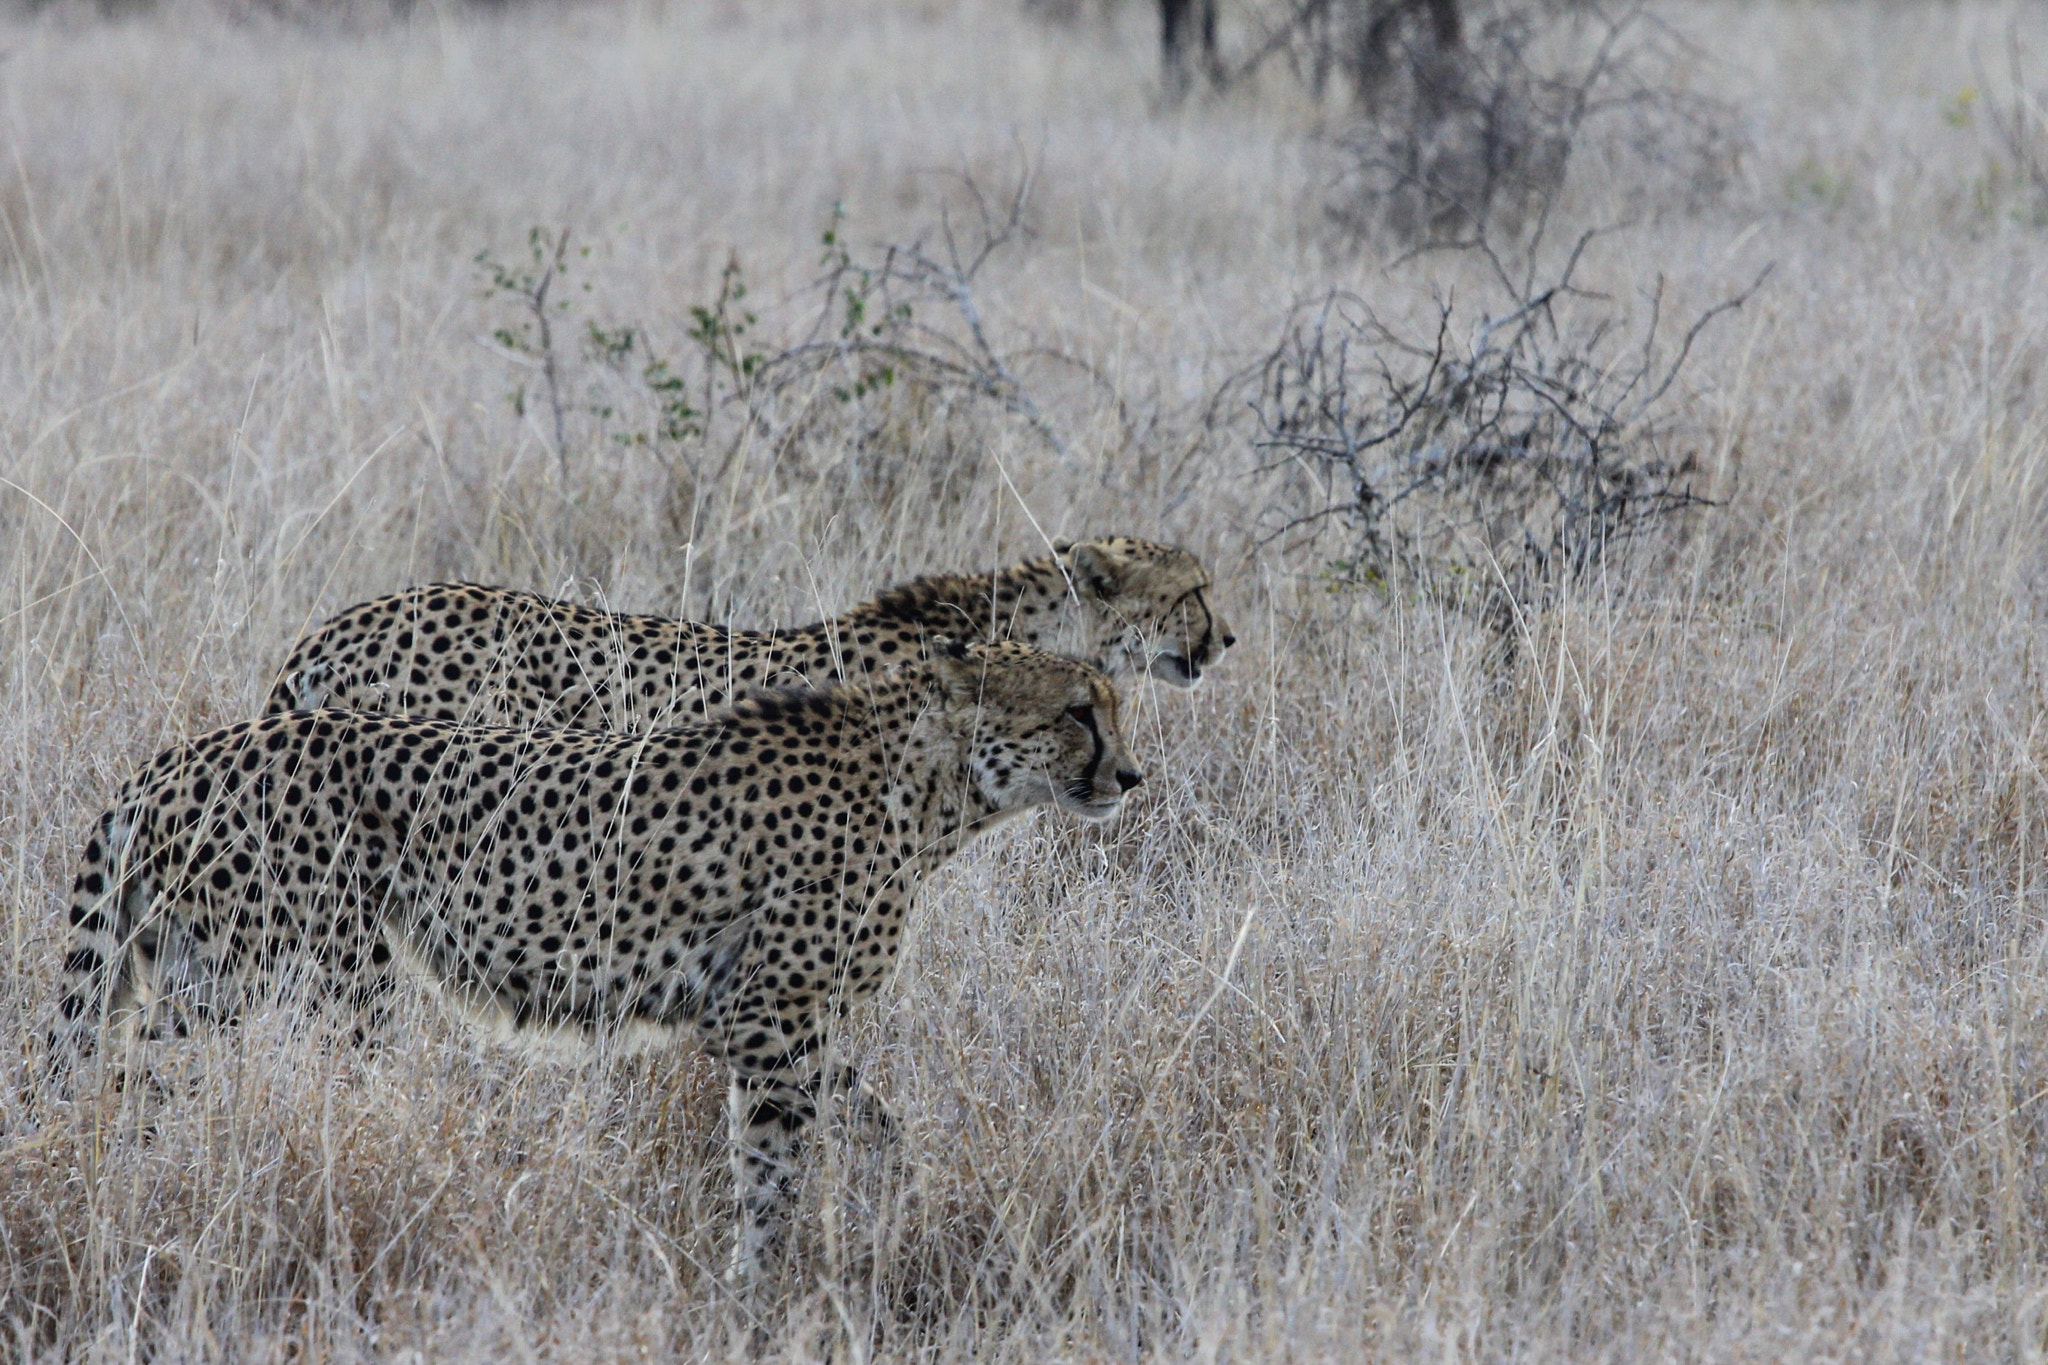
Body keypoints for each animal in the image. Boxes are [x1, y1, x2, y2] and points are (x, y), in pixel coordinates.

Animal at [48, 642, 1146, 1285]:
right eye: (1075, 712)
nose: (1131, 777)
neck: (932, 787)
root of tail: (178, 757)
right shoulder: (766, 1020)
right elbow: (771, 1171)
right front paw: (757, 1290)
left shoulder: (791, 1020)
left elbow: (875, 1125)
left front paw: (905, 1209)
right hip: (299, 973)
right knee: (142, 1073)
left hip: (212, 966)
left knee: (117, 1061)